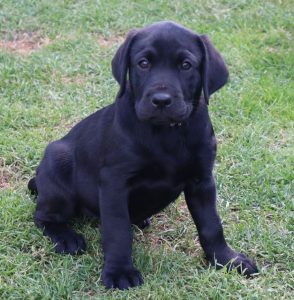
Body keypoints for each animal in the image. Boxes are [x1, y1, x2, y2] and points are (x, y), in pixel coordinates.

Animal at [27, 22, 258, 290]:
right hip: (57, 165)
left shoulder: (202, 180)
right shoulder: (114, 182)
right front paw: (119, 272)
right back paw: (66, 238)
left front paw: (227, 260)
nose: (161, 101)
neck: (166, 134)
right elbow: (117, 230)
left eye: (186, 65)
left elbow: (212, 225)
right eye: (143, 63)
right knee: (43, 216)